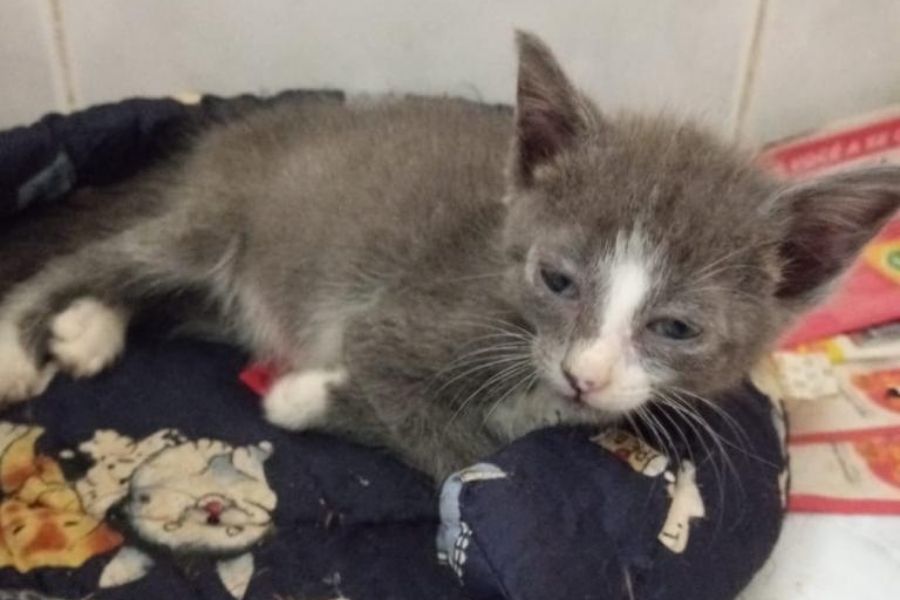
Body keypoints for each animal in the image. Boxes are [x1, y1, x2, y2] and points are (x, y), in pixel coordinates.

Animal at [1, 32, 900, 480]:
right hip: (214, 219)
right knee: (90, 259)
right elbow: (471, 453)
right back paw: (22, 341)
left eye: (676, 328)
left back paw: (88, 328)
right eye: (556, 280)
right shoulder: (406, 323)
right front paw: (304, 395)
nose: (586, 373)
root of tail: (225, 135)